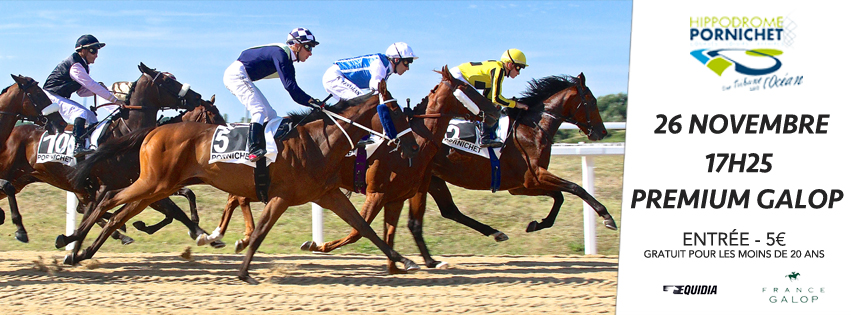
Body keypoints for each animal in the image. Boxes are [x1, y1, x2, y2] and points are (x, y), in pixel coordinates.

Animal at [0, 64, 223, 246]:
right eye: (168, 80)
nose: (196, 96)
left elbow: (180, 202)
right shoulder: (114, 186)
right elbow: (173, 208)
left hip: (26, 178)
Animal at [65, 80, 424, 286]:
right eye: (395, 112)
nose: (413, 147)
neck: (320, 142)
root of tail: (153, 131)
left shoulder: (328, 194)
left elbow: (363, 227)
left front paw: (404, 260)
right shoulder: (281, 197)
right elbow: (261, 231)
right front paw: (242, 270)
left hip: (159, 186)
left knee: (119, 213)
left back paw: (81, 251)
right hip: (154, 183)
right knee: (109, 201)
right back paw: (71, 243)